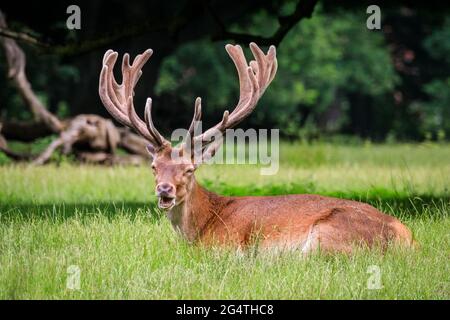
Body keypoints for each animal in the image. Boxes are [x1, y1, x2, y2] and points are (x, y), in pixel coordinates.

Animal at [99, 43, 414, 252]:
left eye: (189, 169)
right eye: (154, 167)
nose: (164, 189)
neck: (200, 228)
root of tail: (407, 238)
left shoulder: (226, 248)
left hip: (326, 237)